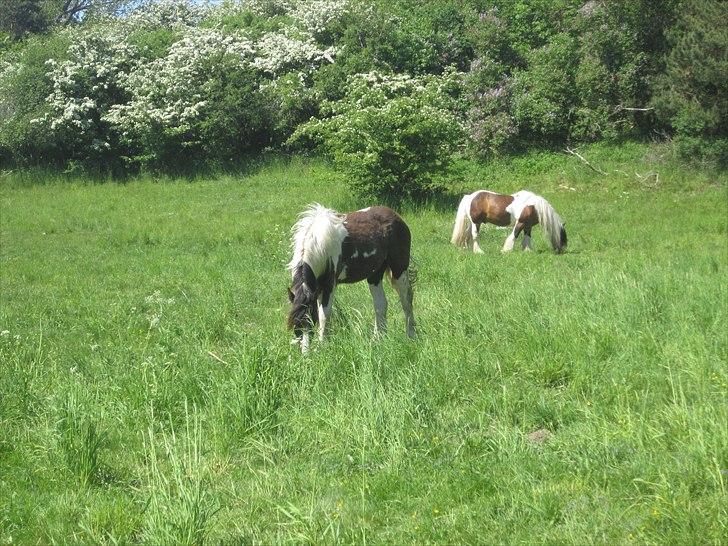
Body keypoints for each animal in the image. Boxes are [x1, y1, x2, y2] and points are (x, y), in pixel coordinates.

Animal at [288, 204, 418, 352]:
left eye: (310, 321)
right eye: (296, 327)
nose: (305, 354)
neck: (318, 244)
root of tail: (395, 216)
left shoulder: (329, 285)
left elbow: (324, 315)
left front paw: (324, 346)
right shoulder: (317, 288)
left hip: (399, 269)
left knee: (406, 300)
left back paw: (411, 336)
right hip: (375, 275)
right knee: (381, 304)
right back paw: (378, 340)